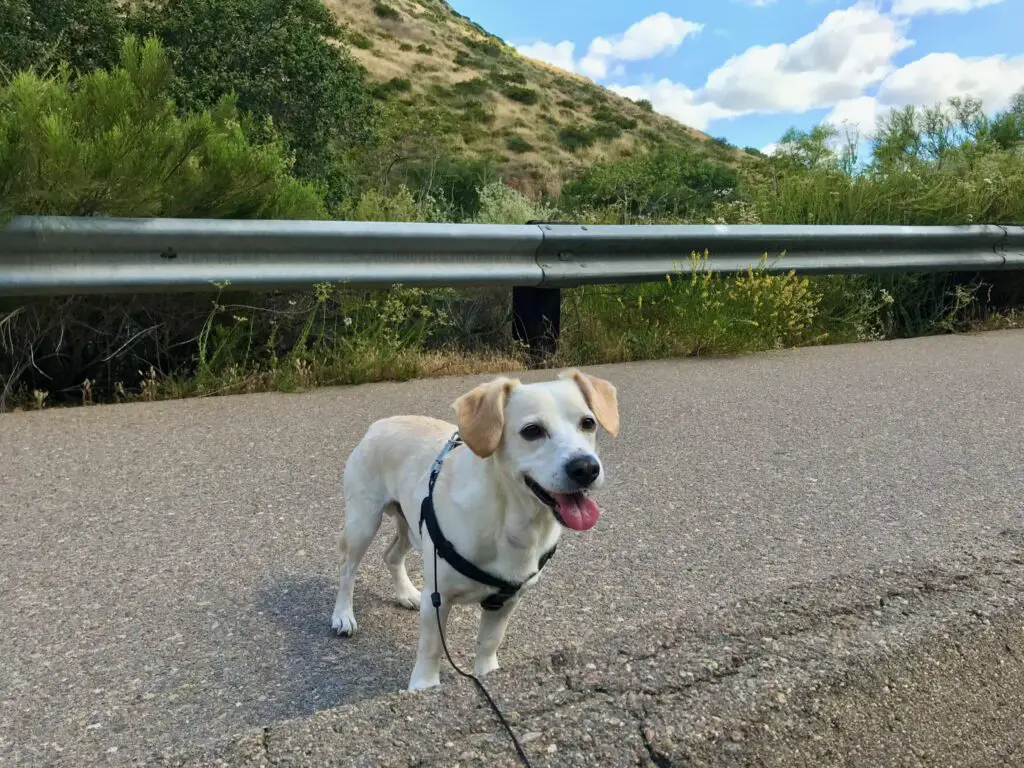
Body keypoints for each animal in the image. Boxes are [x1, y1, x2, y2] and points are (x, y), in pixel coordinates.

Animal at [329, 370, 614, 696]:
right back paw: (343, 615)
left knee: (391, 556)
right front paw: (424, 686)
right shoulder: (438, 597)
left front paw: (488, 674)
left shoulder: (507, 600)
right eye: (532, 431)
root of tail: (379, 424)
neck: (513, 522)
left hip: (412, 527)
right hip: (363, 521)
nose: (586, 468)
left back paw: (406, 594)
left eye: (588, 423)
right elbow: (432, 648)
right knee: (347, 567)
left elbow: (489, 642)